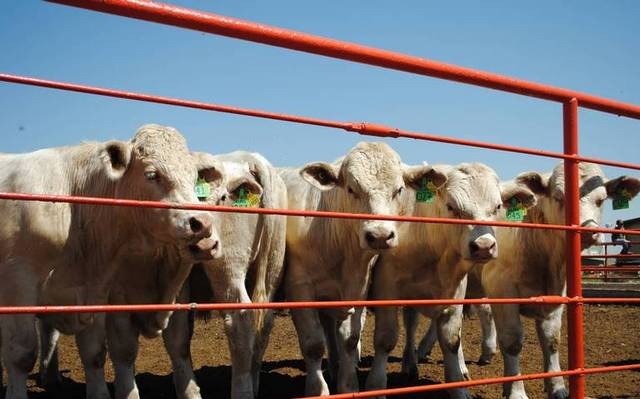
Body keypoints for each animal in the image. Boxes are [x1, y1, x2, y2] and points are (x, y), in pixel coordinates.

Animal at [0, 125, 218, 399]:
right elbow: (21, 354)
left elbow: (94, 353)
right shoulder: (18, 283)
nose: (203, 223)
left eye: (193, 176)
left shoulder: (93, 292)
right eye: (151, 174)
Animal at [160, 151, 288, 399]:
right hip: (272, 265)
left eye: (222, 198)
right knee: (263, 324)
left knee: (240, 320)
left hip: (228, 267)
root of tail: (251, 158)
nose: (202, 240)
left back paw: (242, 390)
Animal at [278, 142, 438, 396]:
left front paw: (348, 384)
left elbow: (350, 339)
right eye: (351, 189)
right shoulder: (299, 287)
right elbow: (313, 343)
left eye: (399, 190)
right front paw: (317, 390)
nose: (380, 235)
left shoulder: (359, 286)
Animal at [362, 163, 536, 399]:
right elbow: (385, 339)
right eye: (452, 207)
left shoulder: (455, 292)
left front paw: (459, 386)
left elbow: (452, 340)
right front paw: (375, 386)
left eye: (498, 206)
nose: (484, 246)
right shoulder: (386, 288)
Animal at [482, 163, 636, 399]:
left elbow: (552, 341)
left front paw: (558, 388)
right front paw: (516, 391)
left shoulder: (556, 296)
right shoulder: (501, 288)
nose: (587, 231)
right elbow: (512, 342)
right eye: (558, 196)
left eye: (601, 200)